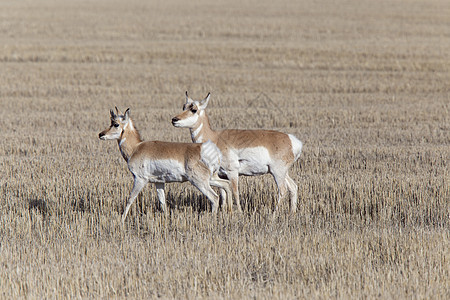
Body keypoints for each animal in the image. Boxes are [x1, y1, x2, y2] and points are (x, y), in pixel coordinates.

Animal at [99, 106, 232, 223]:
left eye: (116, 124)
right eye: (111, 122)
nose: (100, 134)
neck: (136, 148)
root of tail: (206, 149)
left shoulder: (140, 179)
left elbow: (130, 199)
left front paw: (121, 220)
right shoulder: (159, 182)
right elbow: (162, 203)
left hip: (199, 181)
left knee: (214, 197)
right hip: (210, 178)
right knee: (226, 185)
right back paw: (228, 211)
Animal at [171, 91, 302, 213]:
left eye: (194, 109)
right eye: (184, 107)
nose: (174, 120)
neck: (214, 138)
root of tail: (291, 139)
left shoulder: (232, 172)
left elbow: (235, 192)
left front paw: (239, 212)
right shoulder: (221, 174)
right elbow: (223, 193)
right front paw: (224, 211)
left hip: (277, 172)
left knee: (283, 190)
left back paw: (274, 214)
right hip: (281, 173)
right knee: (293, 187)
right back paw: (292, 212)